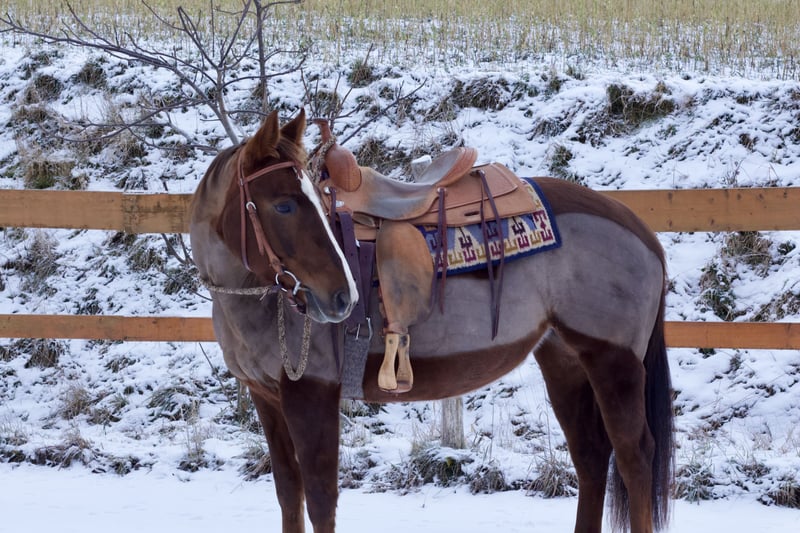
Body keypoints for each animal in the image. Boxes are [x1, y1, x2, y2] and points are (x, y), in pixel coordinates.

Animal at [189, 108, 674, 533]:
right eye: (284, 206)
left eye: (301, 202)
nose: (342, 296)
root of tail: (640, 229)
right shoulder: (266, 398)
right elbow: (290, 494)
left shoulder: (311, 393)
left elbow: (321, 500)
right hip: (564, 359)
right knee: (591, 456)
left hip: (614, 361)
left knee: (634, 457)